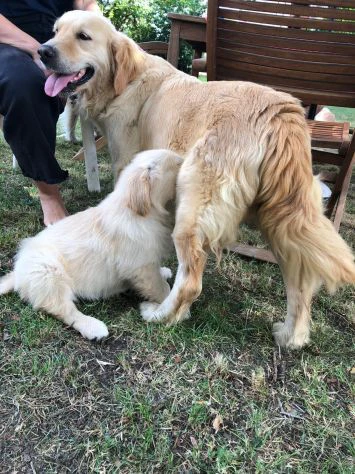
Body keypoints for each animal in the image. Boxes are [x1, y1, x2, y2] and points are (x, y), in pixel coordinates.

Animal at [0, 150, 184, 338]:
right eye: (178, 164)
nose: (185, 161)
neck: (139, 213)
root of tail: (17, 273)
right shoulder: (141, 267)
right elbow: (161, 287)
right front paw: (166, 303)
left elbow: (158, 274)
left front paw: (163, 272)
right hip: (49, 274)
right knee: (64, 309)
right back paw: (93, 327)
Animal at [37, 10, 354, 348]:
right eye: (55, 31)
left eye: (83, 36)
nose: (43, 51)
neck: (126, 80)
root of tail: (280, 114)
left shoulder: (126, 162)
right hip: (284, 218)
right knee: (300, 281)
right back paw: (292, 336)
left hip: (192, 209)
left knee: (190, 282)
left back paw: (161, 315)